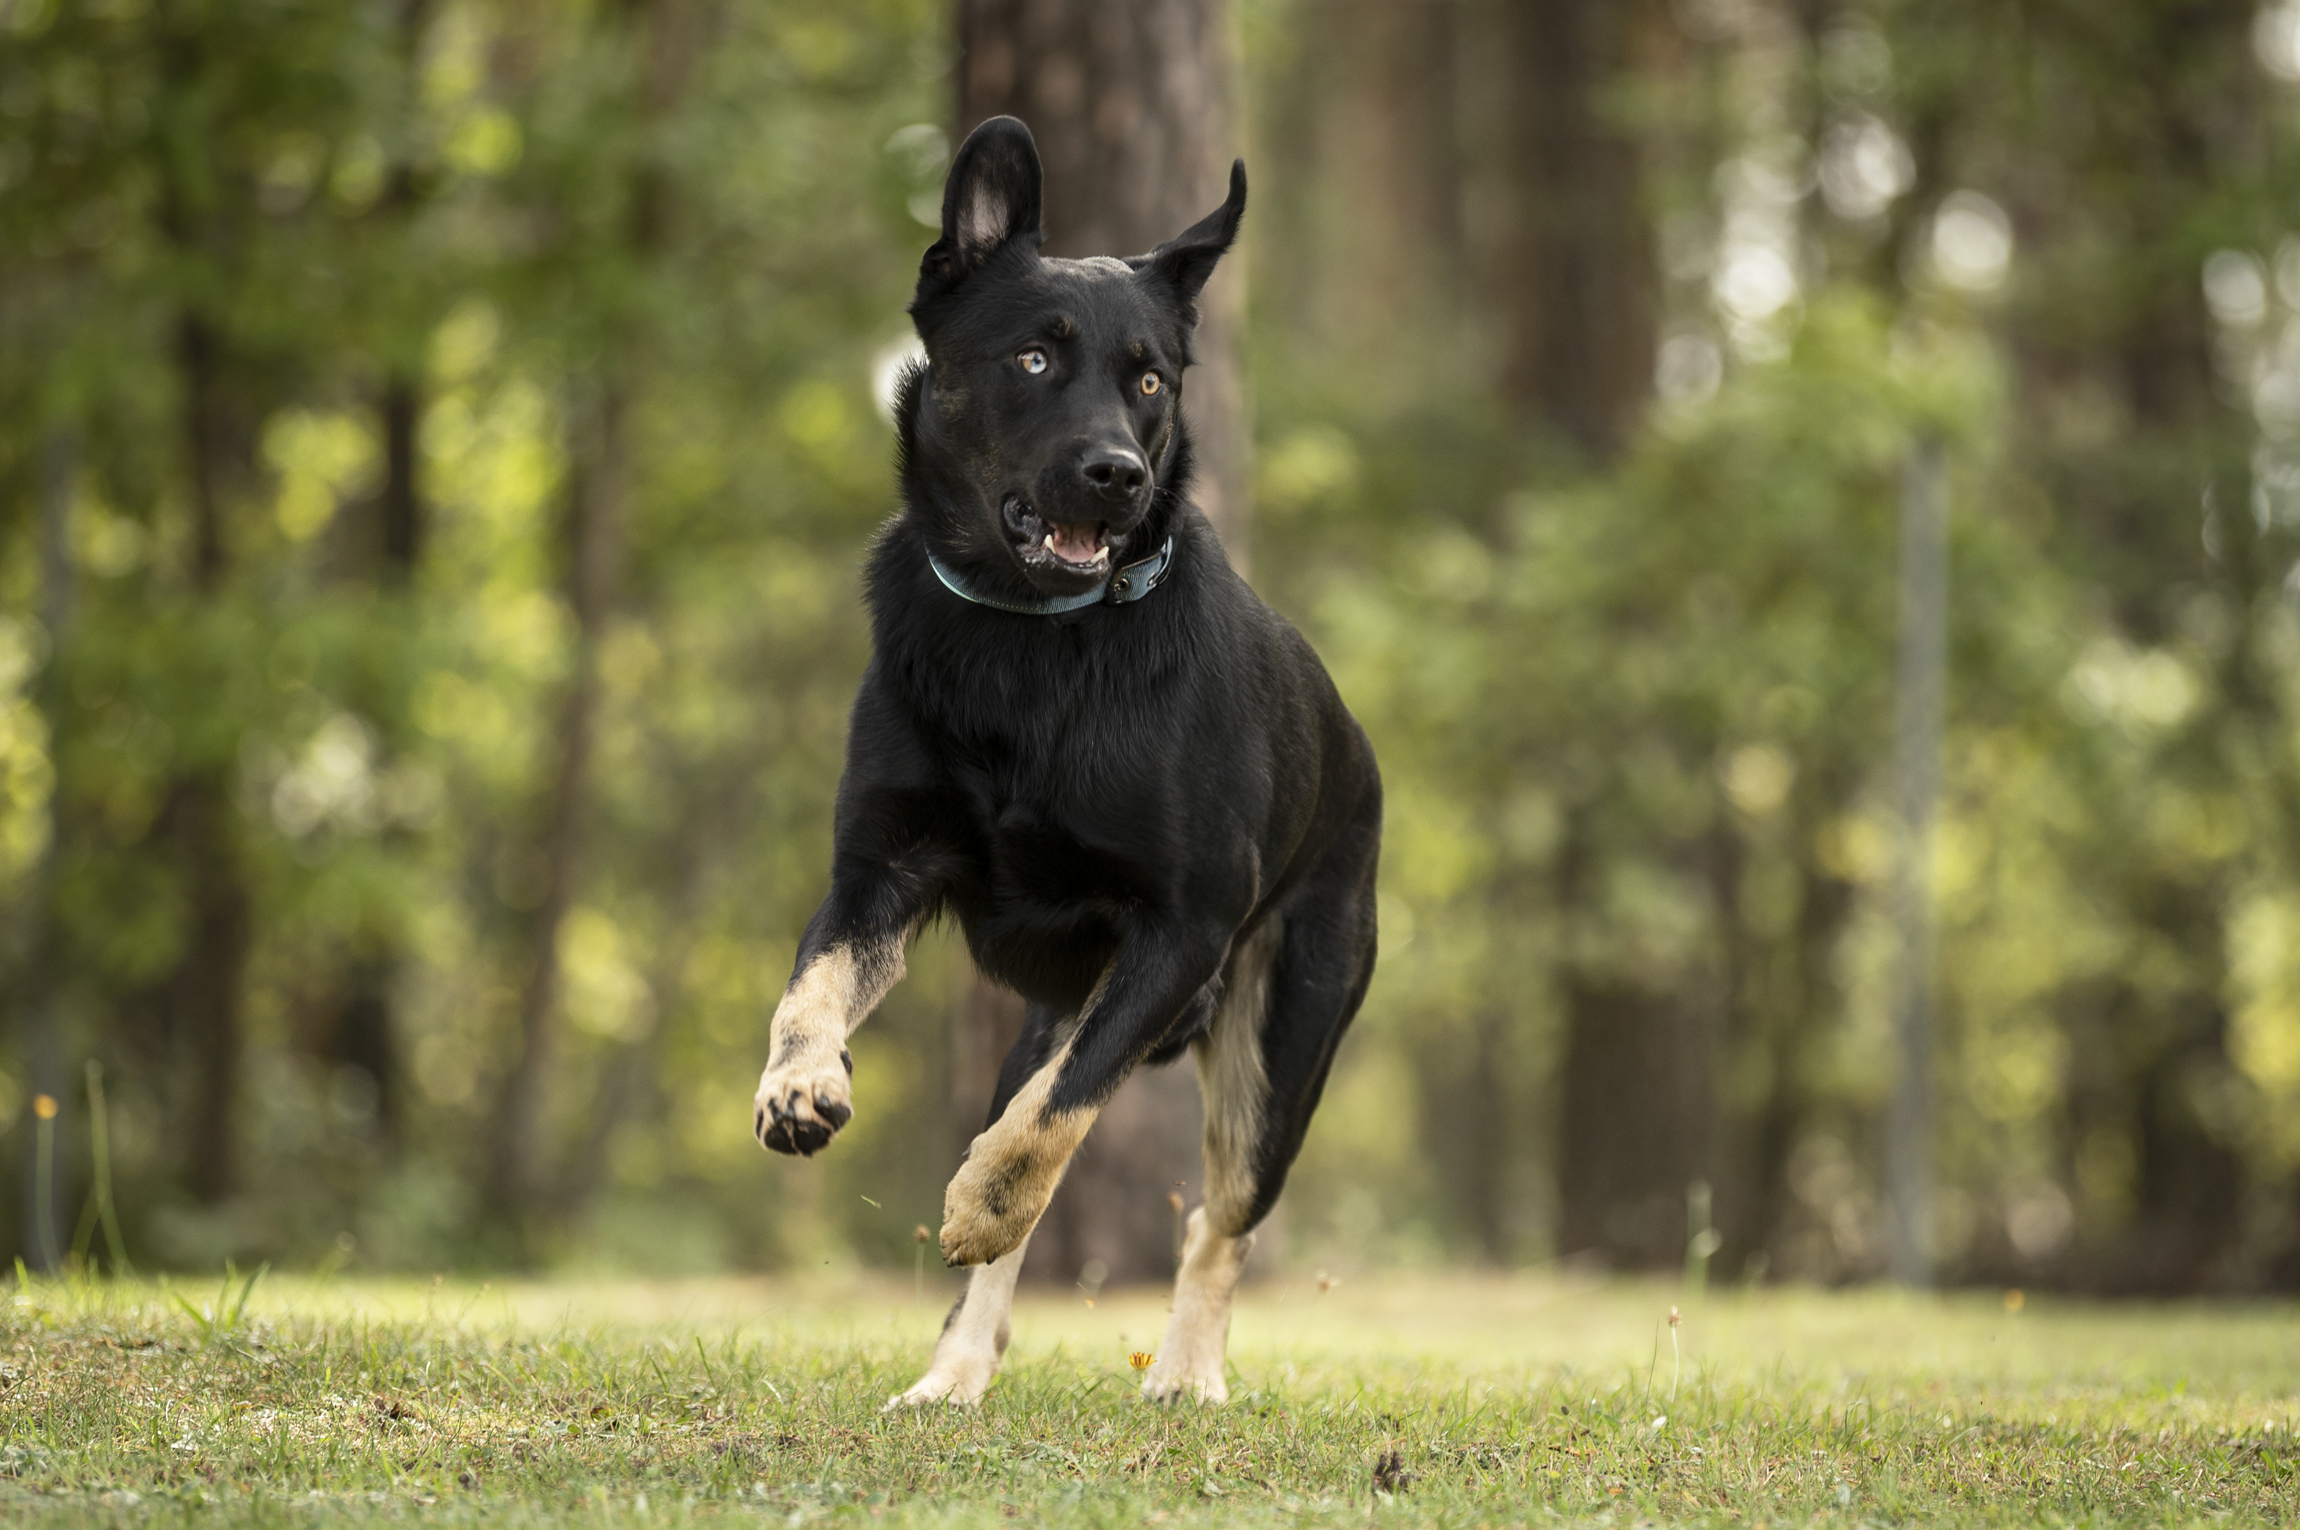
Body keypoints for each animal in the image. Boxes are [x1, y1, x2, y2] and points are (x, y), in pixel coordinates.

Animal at [751, 115, 1381, 1407]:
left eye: (1149, 382)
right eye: (1034, 360)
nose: (1118, 475)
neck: (1027, 639)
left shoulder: (1182, 927)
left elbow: (1054, 1129)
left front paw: (979, 1204)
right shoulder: (879, 871)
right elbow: (811, 988)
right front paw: (799, 1084)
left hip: (1278, 1050)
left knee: (1213, 1221)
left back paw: (1184, 1372)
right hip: (1047, 1022)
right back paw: (949, 1380)